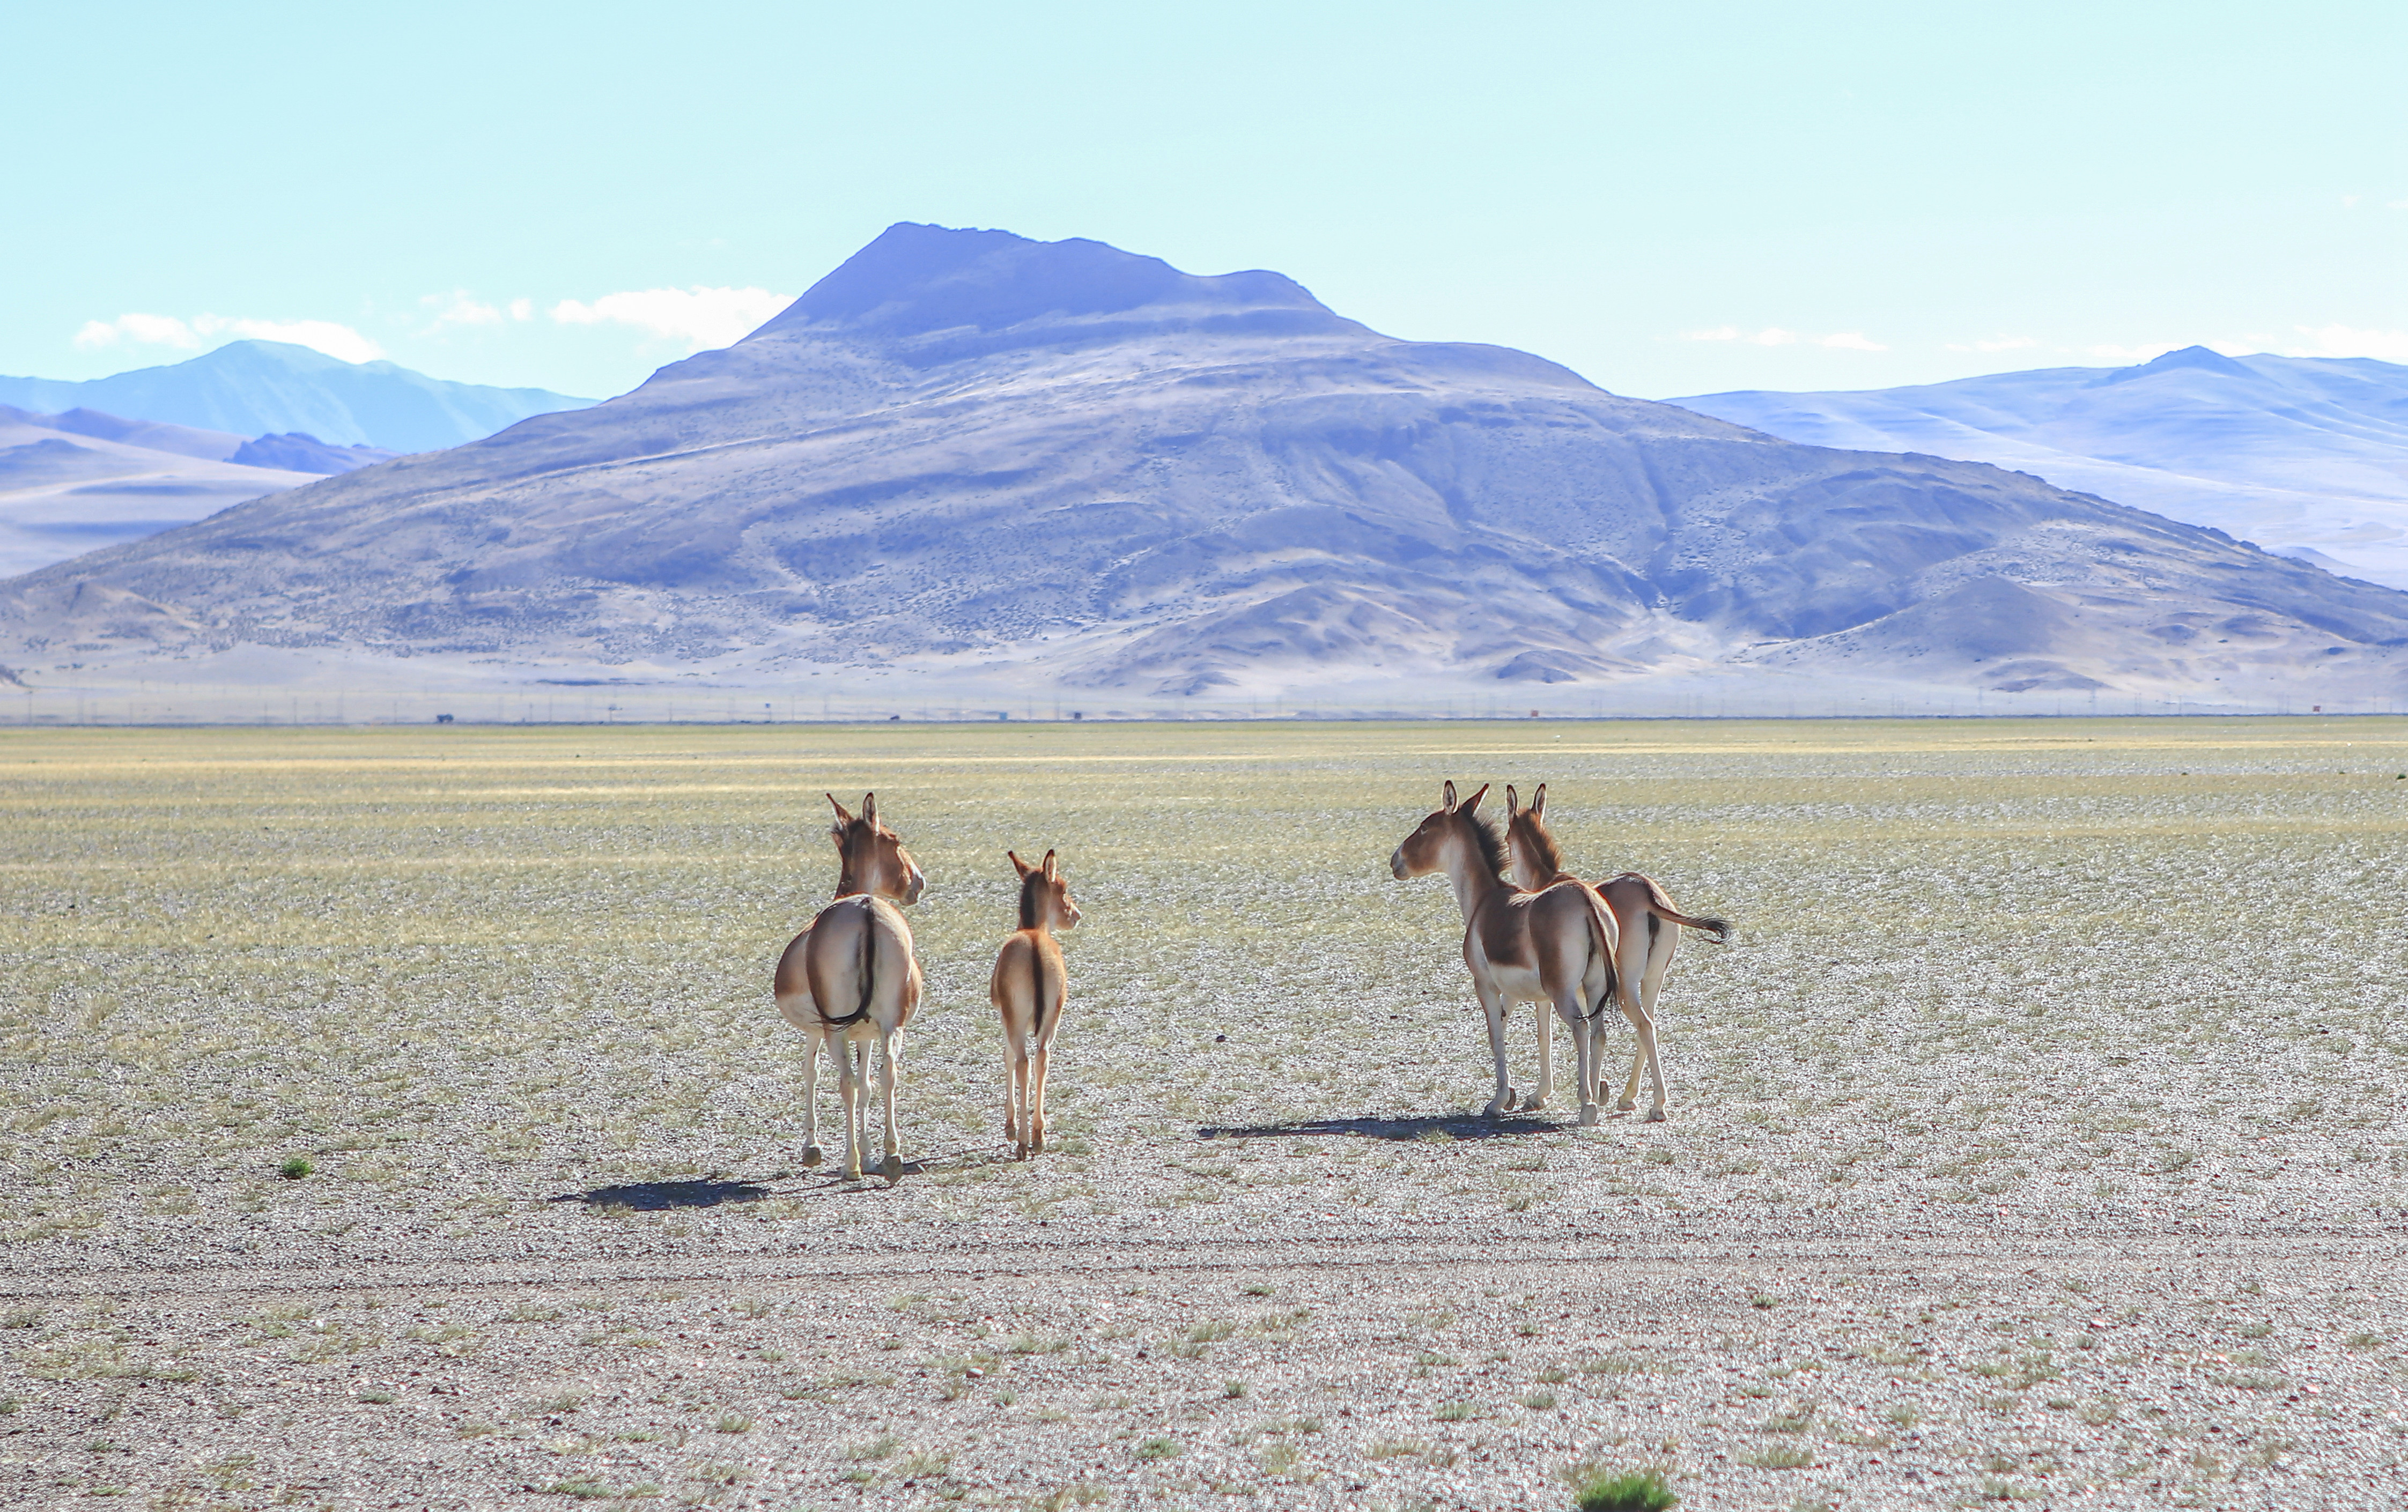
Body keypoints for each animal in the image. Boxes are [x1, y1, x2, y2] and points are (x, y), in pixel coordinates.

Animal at [775, 789, 925, 1180]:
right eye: (895, 840)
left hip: (837, 1031)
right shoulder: (867, 1033)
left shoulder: (820, 1030)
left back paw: (852, 1164)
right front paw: (871, 1153)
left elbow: (812, 1073)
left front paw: (813, 1149)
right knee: (888, 1074)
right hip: (891, 1026)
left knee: (845, 1083)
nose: (918, 882)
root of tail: (866, 908)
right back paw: (891, 1157)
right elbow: (867, 1082)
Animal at [987, 852, 1083, 1155]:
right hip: (1053, 1017)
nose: (1076, 915)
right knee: (1042, 1057)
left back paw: (1022, 1140)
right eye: (1063, 888)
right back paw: (1039, 1136)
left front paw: (1010, 1127)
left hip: (1016, 1020)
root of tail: (1035, 947)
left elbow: (1006, 1056)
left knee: (1022, 1062)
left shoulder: (1005, 1018)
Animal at [1387, 780, 1628, 1122]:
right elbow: (1532, 1034)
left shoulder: (1486, 985)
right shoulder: (1524, 995)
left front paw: (1499, 1100)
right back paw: (1597, 1094)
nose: (1395, 861)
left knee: (1581, 1029)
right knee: (1598, 1032)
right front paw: (1523, 1096)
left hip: (1564, 989)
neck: (1485, 899)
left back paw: (1587, 1105)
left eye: (1424, 828)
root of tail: (1585, 899)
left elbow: (1495, 1034)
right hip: (1594, 986)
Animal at [1493, 784, 1724, 1117]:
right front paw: (1596, 1090)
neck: (1549, 883)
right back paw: (1629, 1098)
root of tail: (1648, 894)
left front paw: (1541, 1095)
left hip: (1626, 985)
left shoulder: (1550, 992)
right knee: (1649, 1025)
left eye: (1507, 837)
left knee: (1643, 1024)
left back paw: (1655, 1105)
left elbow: (1545, 1034)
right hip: (1651, 980)